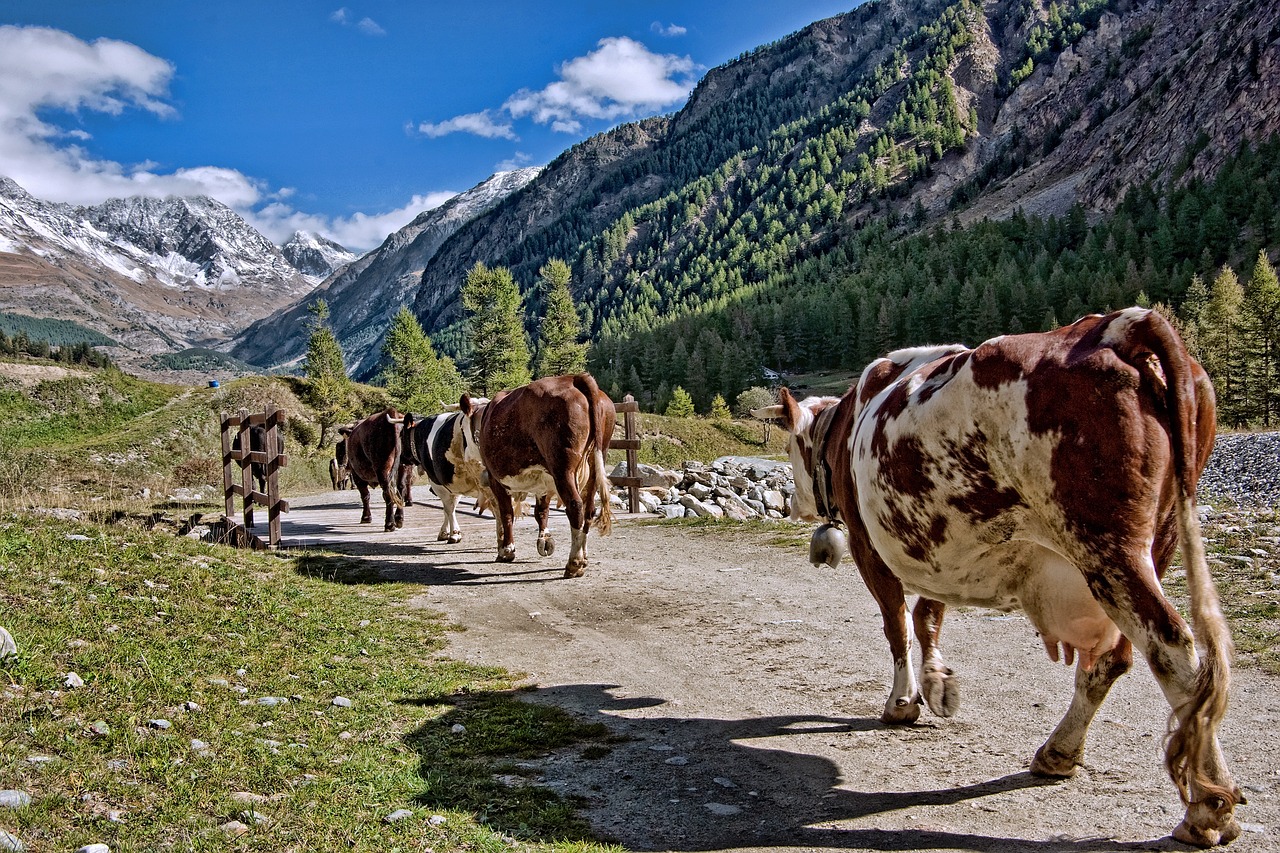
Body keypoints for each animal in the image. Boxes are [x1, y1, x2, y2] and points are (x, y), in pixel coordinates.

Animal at [460, 373, 614, 578]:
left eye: (463, 430)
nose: (466, 455)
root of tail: (573, 378)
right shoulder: (544, 481)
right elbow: (541, 511)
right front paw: (545, 540)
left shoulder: (495, 479)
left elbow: (506, 513)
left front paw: (507, 550)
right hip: (596, 461)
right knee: (589, 510)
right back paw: (584, 557)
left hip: (562, 467)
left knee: (575, 506)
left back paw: (574, 563)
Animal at [752, 307, 1244, 845]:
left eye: (789, 449)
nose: (793, 504)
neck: (844, 427)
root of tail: (1118, 324)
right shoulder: (939, 549)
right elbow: (929, 614)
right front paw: (938, 684)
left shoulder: (870, 546)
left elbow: (898, 623)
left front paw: (903, 701)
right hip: (1159, 539)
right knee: (1113, 660)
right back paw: (1059, 754)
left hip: (1107, 548)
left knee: (1173, 649)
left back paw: (1207, 809)